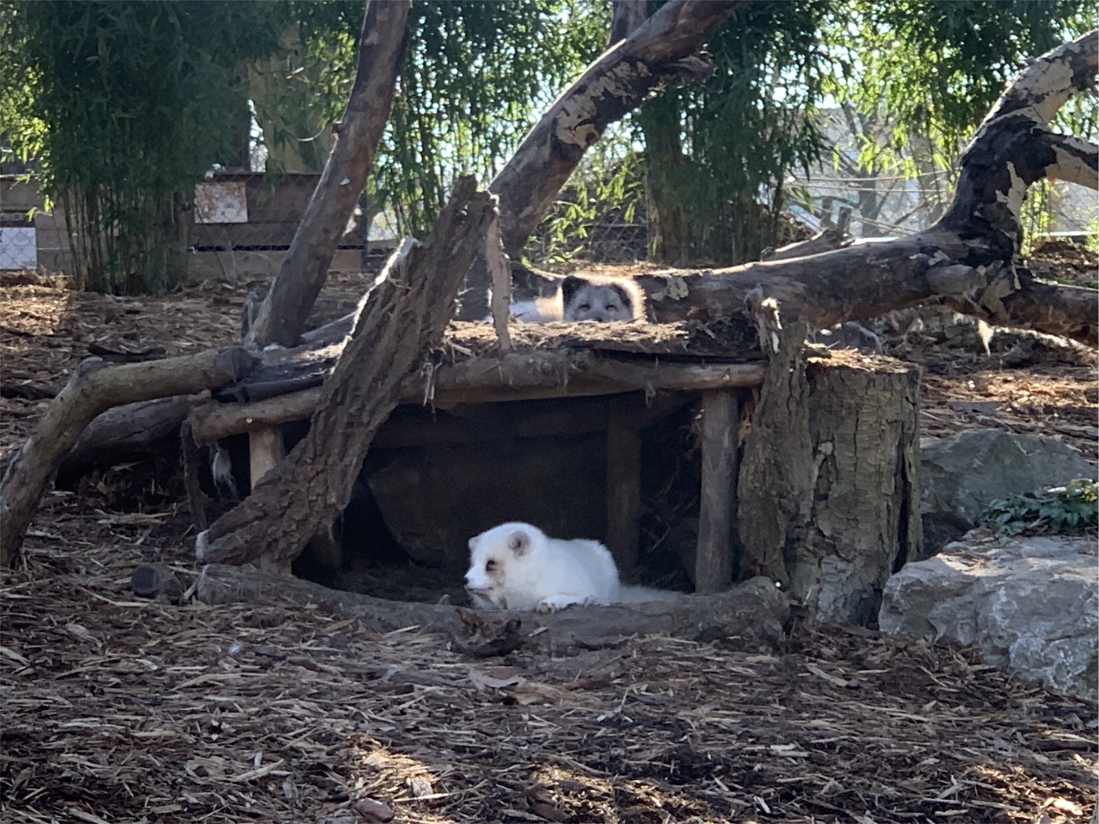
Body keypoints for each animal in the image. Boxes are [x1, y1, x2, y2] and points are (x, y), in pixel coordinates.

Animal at [461, 522, 672, 615]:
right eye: (473, 563)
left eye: (490, 564)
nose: (465, 580)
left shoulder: (580, 588)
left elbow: (566, 596)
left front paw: (549, 603)